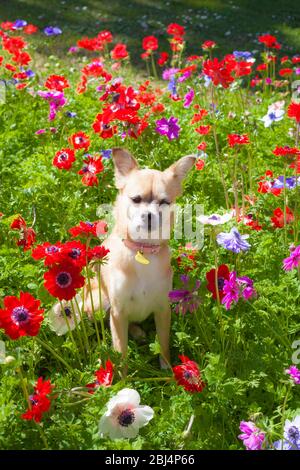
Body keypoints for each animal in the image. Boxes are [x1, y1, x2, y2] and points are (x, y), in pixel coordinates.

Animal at [84, 149, 197, 366]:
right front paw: (120, 374)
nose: (149, 215)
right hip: (98, 302)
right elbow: (121, 351)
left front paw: (167, 370)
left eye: (164, 202)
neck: (143, 250)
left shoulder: (162, 308)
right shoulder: (118, 312)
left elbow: (163, 343)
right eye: (136, 199)